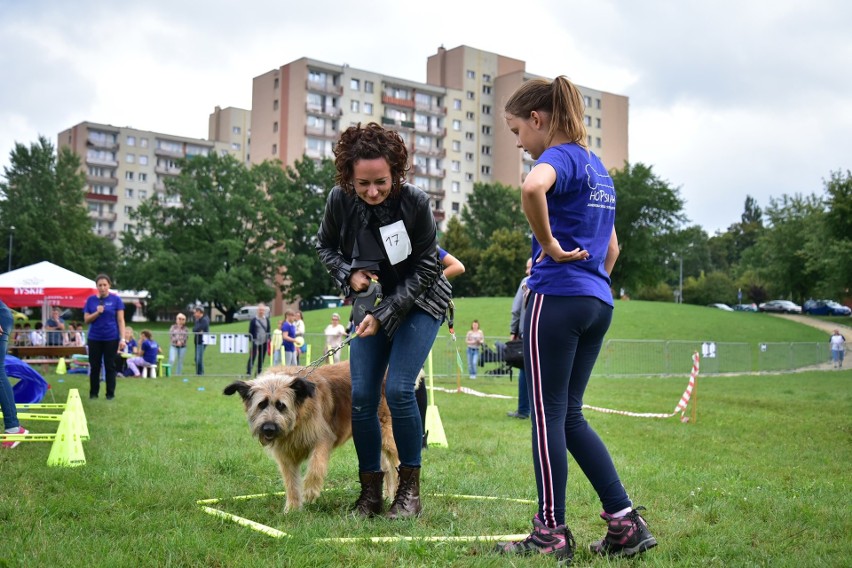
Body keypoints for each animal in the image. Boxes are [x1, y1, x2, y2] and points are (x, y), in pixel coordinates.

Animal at [226, 362, 400, 512]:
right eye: (261, 405)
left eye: (281, 405)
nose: (269, 429)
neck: (298, 417)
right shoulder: (285, 455)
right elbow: (291, 482)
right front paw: (292, 509)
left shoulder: (322, 439)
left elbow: (316, 467)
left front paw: (310, 491)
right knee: (386, 467)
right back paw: (387, 496)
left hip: (387, 434)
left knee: (396, 463)